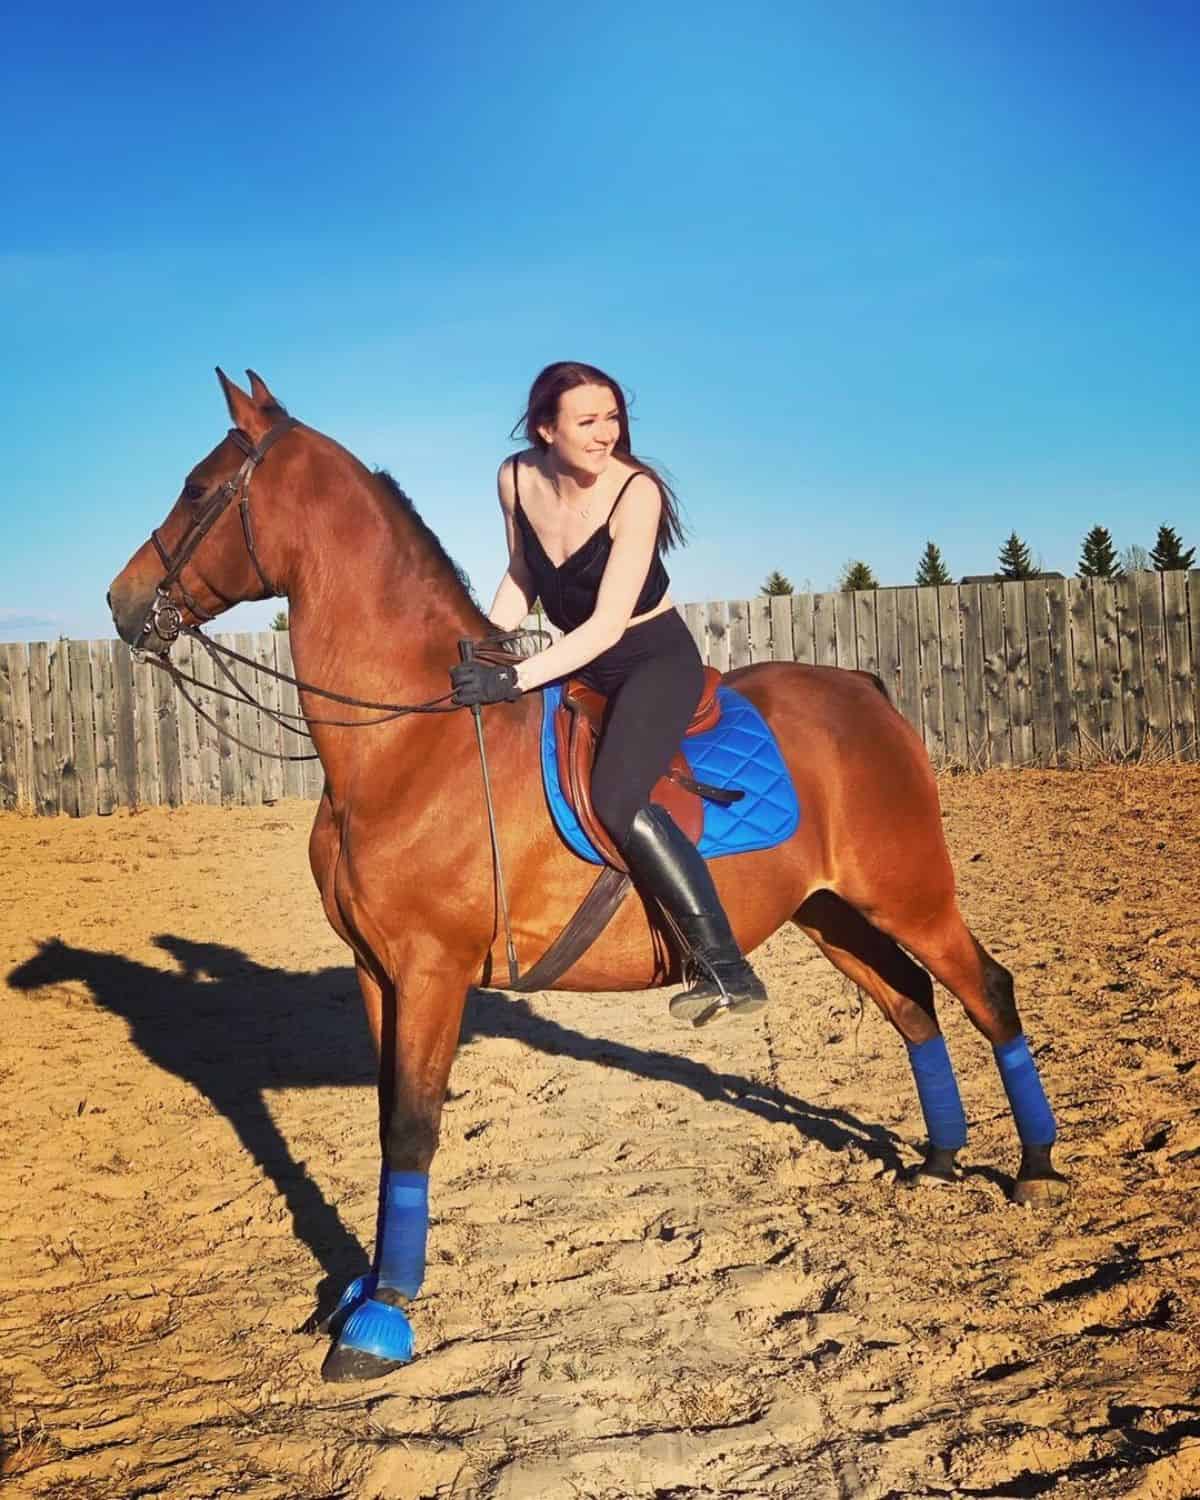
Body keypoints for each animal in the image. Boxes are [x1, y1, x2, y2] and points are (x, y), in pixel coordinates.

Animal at [110, 372, 1068, 1380]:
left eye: (196, 488)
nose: (120, 601)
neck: (411, 741)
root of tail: (867, 695)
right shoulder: (377, 973)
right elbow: (386, 1124)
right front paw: (362, 1292)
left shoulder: (431, 971)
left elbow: (413, 1126)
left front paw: (383, 1320)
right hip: (831, 913)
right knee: (912, 1003)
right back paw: (940, 1160)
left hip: (911, 895)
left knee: (986, 991)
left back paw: (1036, 1168)